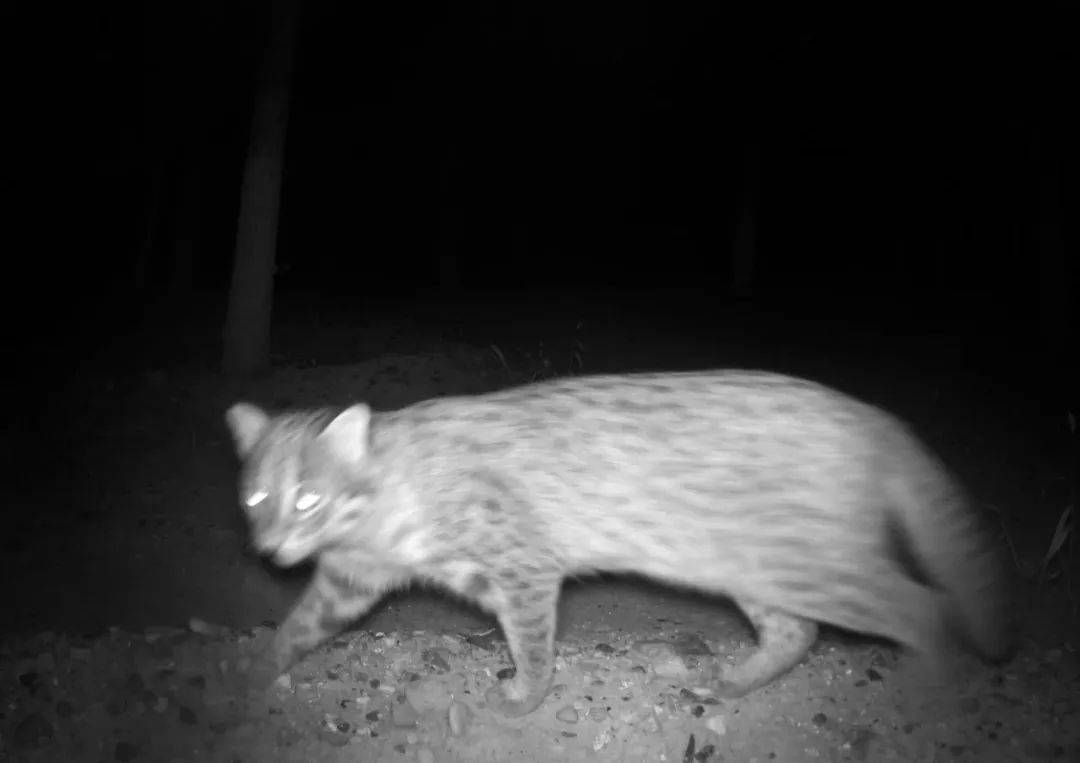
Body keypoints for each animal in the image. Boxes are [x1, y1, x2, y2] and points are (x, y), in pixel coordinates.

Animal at [223, 367, 1006, 713]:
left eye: (309, 497)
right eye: (256, 498)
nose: (272, 549)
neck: (383, 499)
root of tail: (871, 414)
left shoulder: (524, 568)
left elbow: (534, 646)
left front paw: (523, 696)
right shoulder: (350, 581)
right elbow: (295, 628)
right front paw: (252, 679)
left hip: (813, 565)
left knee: (922, 605)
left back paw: (926, 688)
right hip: (757, 568)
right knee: (797, 632)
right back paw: (729, 682)